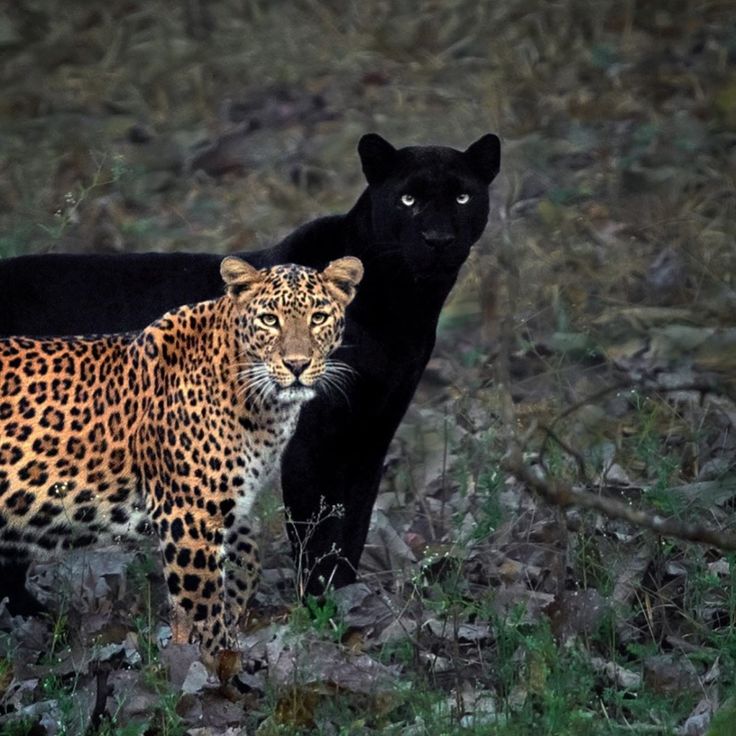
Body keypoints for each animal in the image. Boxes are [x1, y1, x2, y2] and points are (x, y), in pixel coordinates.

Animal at [0, 254, 364, 672]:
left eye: (318, 317)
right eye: (270, 320)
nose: (297, 365)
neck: (263, 405)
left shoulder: (223, 504)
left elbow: (247, 561)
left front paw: (225, 621)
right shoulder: (189, 514)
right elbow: (203, 604)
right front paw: (221, 664)